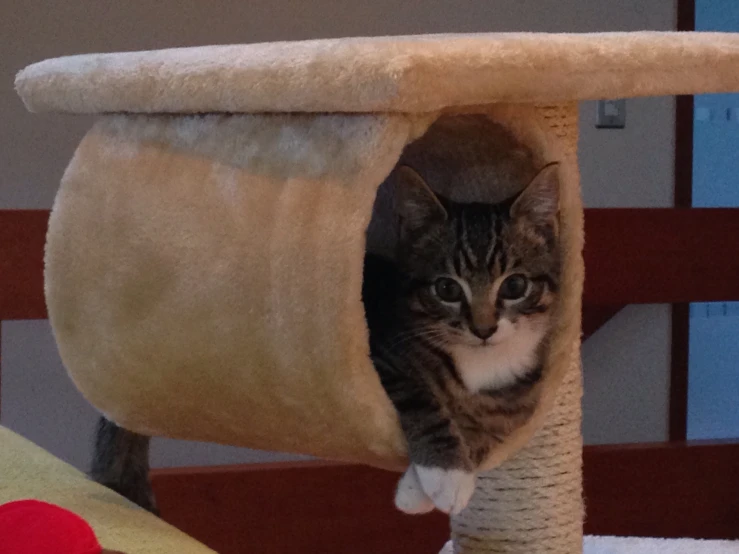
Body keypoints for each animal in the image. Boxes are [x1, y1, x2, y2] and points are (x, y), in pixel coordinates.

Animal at [364, 161, 560, 512]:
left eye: (514, 286)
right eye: (447, 289)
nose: (484, 329)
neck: (482, 361)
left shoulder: (520, 400)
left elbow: (487, 426)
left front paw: (419, 489)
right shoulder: (383, 353)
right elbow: (420, 397)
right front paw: (446, 475)